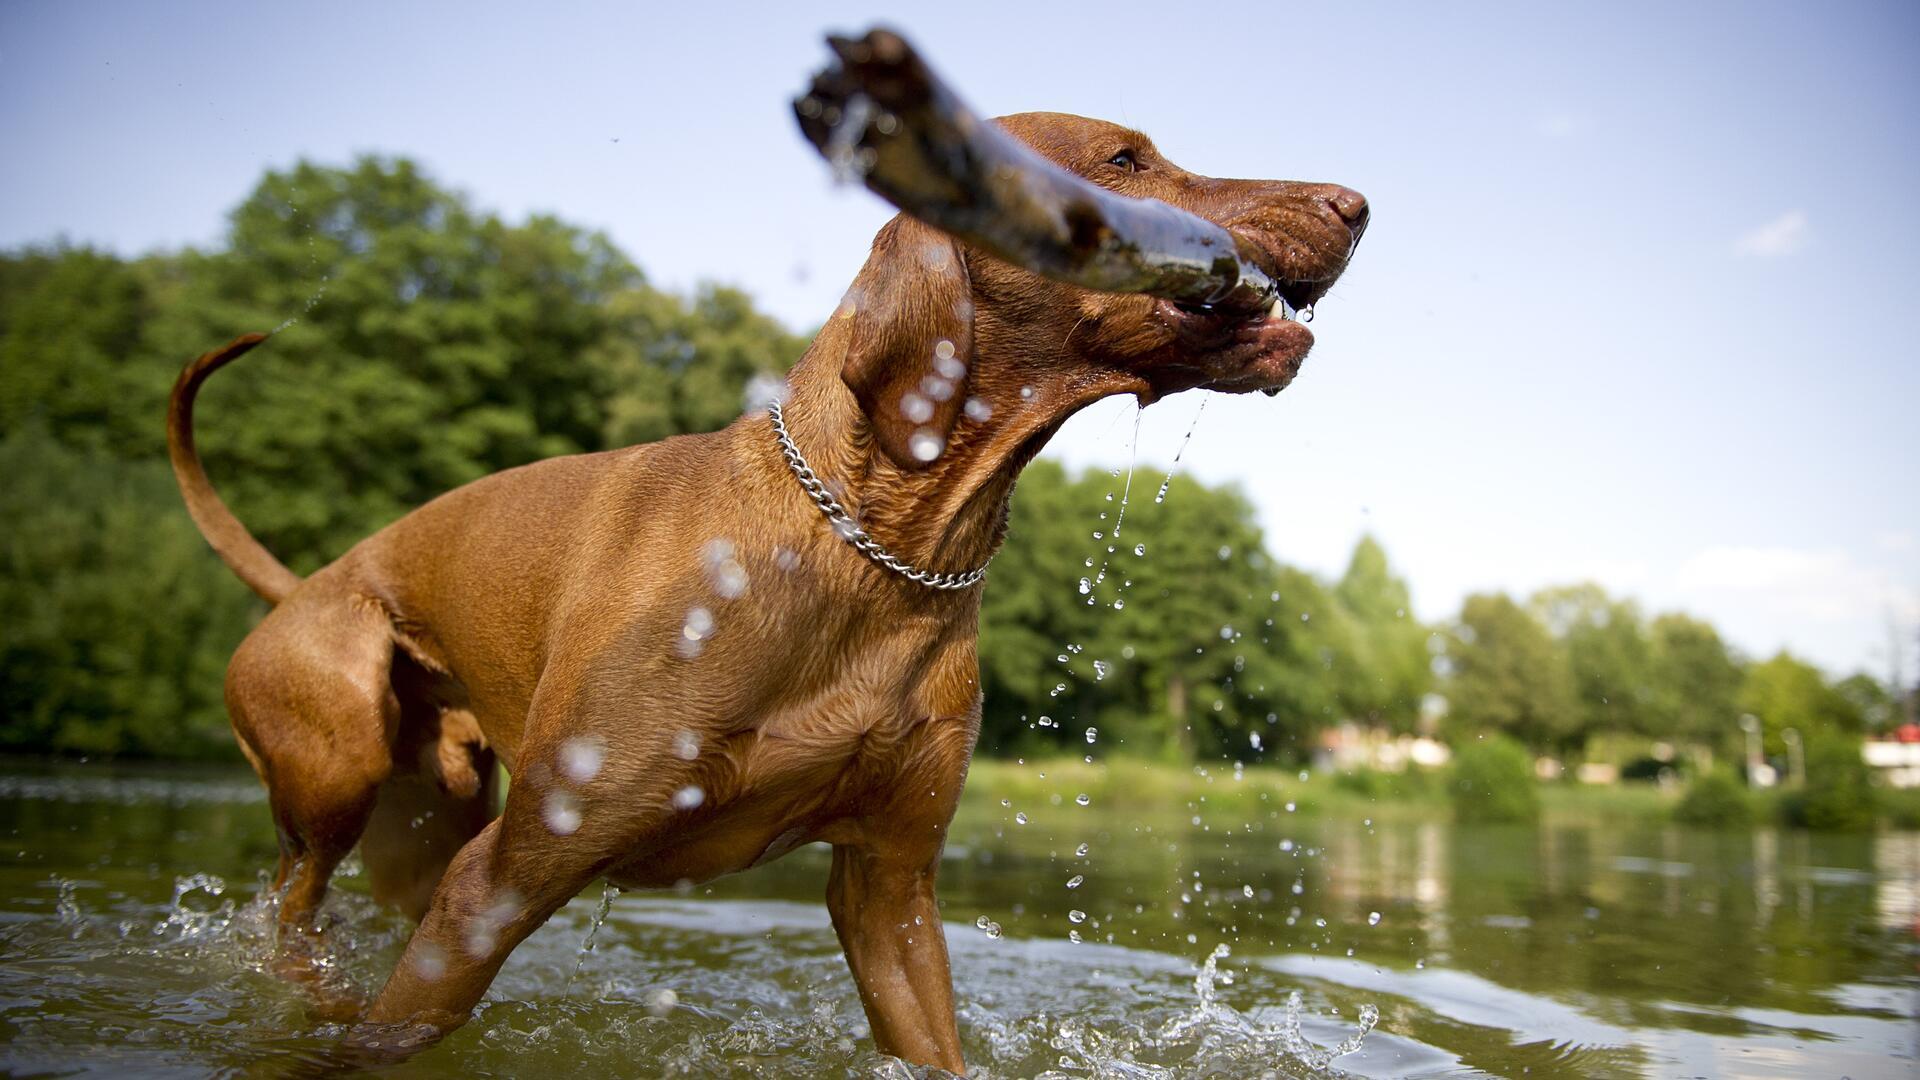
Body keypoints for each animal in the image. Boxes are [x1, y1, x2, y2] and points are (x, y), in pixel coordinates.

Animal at [168, 111, 1367, 1068]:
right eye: (1124, 159)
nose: (1355, 203)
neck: (876, 549)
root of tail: (305, 585)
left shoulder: (892, 890)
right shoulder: (502, 876)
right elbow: (392, 1033)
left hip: (427, 819)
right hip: (339, 769)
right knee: (289, 908)